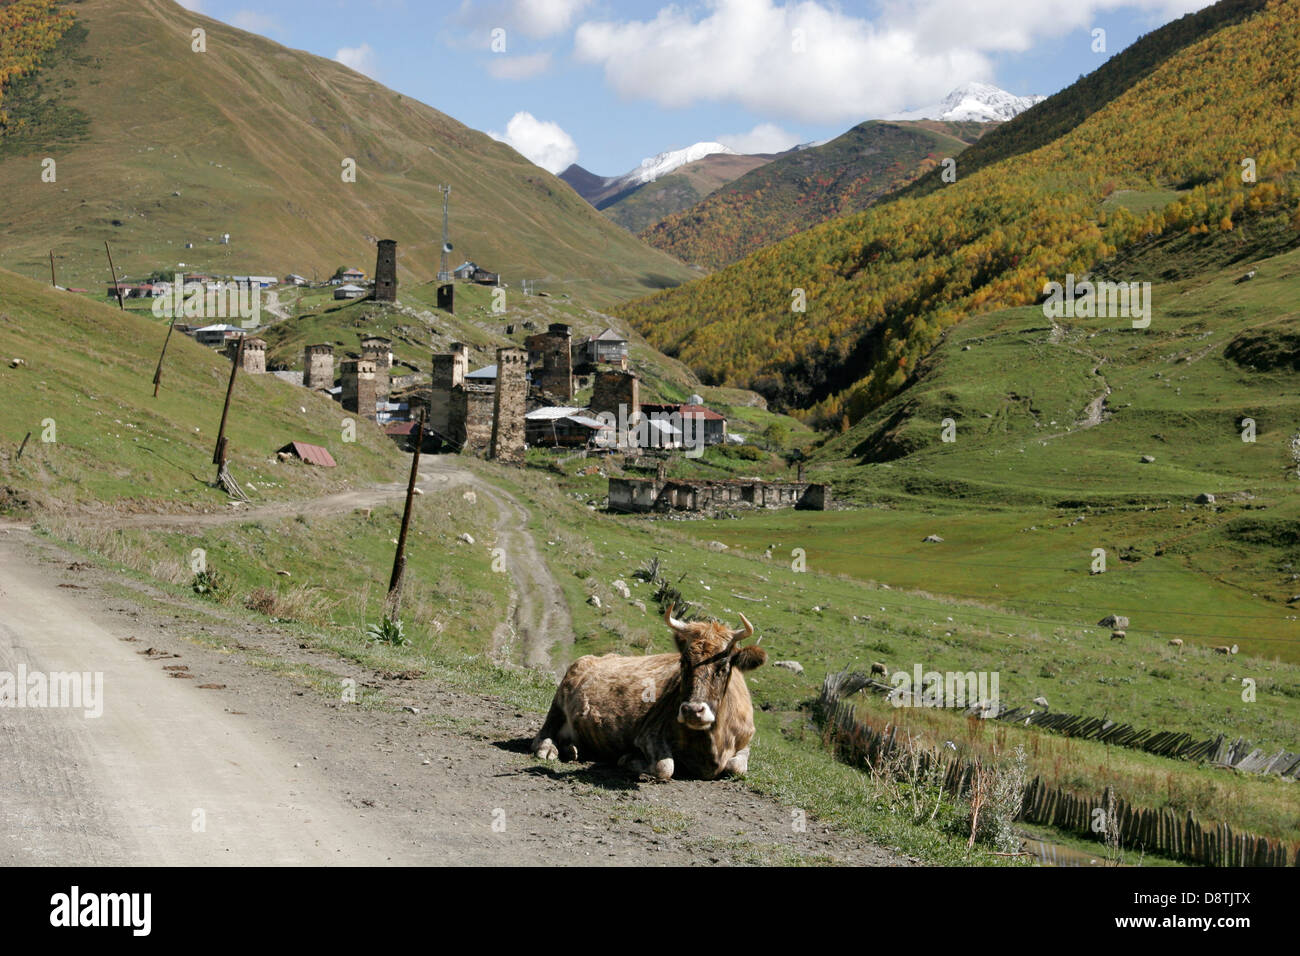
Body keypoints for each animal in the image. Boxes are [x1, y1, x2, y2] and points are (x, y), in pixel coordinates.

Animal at [533, 608, 764, 780]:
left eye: (723, 666)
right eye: (683, 662)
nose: (692, 711)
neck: (712, 744)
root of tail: (593, 657)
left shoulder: (746, 741)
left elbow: (736, 767)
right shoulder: (648, 734)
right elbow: (665, 767)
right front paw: (628, 760)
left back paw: (572, 749)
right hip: (559, 701)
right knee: (543, 734)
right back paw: (549, 749)